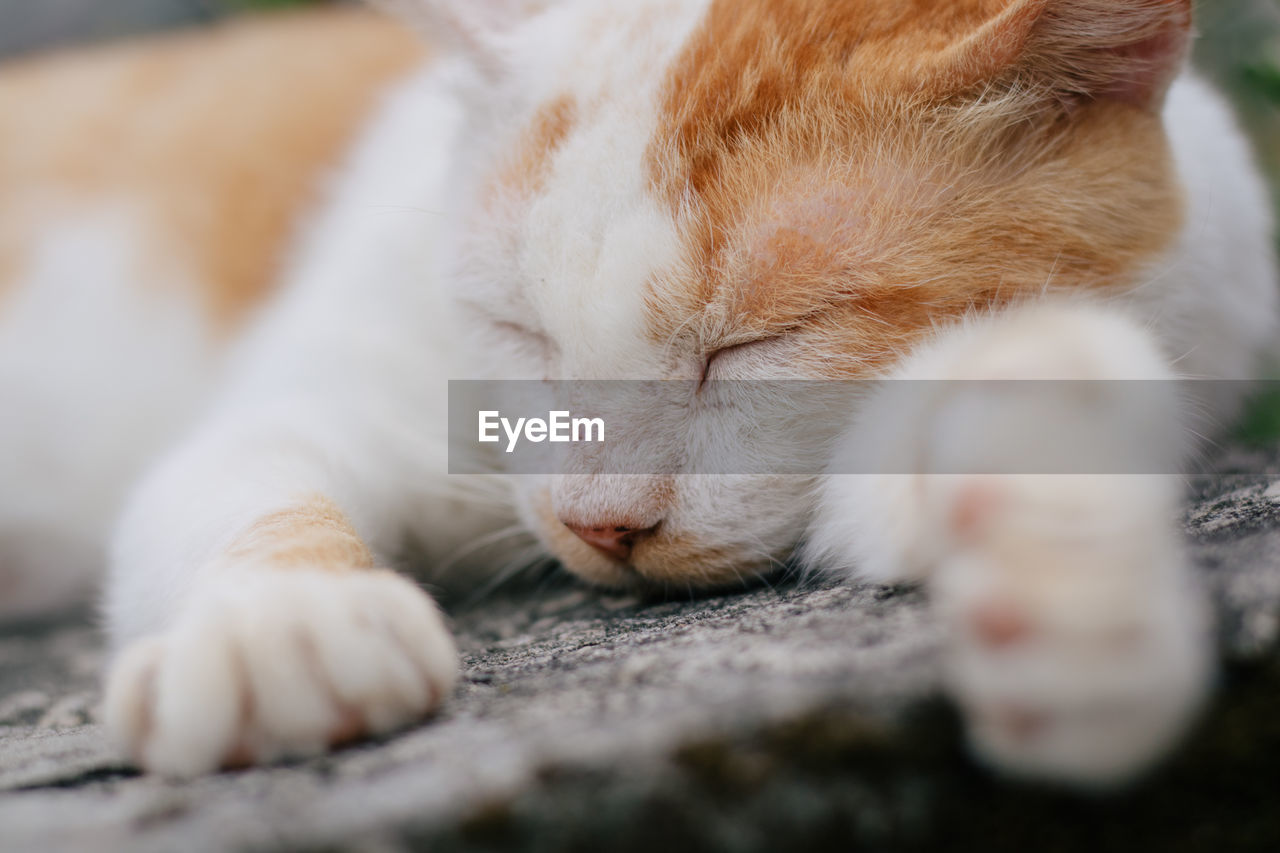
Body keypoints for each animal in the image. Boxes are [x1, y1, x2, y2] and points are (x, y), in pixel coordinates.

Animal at [0, 0, 1274, 783]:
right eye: (516, 328)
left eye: (754, 346)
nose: (599, 521)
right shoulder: (324, 388)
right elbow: (242, 481)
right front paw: (280, 627)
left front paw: (1071, 592)